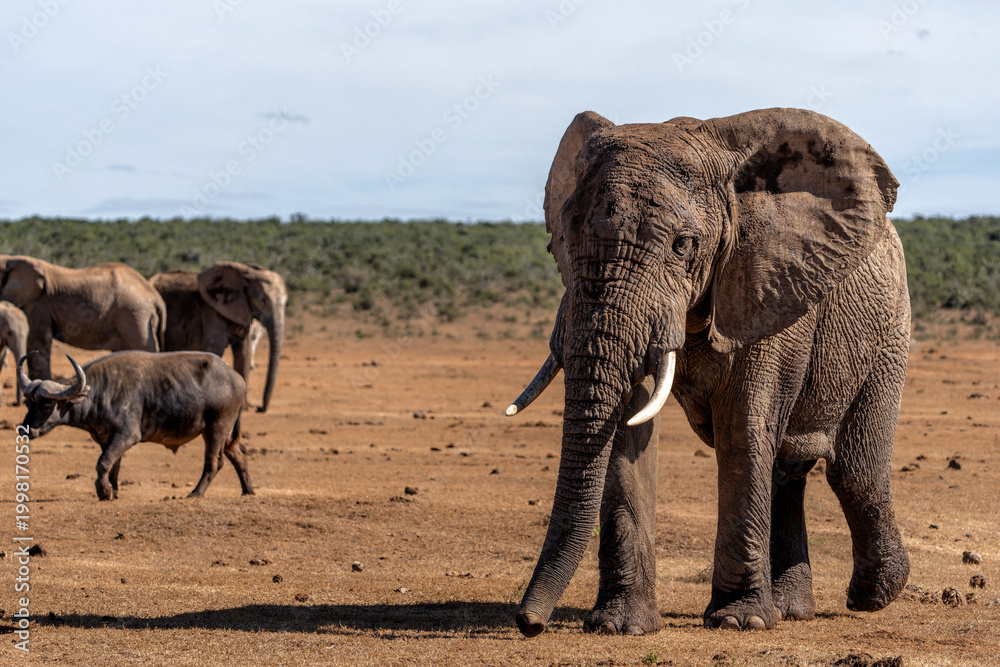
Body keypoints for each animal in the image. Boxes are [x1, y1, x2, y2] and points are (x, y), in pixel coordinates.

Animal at [18, 350, 254, 500]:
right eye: (28, 403)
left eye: (46, 405)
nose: (25, 429)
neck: (100, 393)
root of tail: (238, 379)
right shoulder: (107, 438)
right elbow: (114, 464)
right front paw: (113, 491)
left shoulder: (127, 435)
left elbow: (103, 463)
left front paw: (103, 491)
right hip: (225, 433)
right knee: (239, 454)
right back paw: (248, 490)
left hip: (216, 428)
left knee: (214, 463)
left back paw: (195, 493)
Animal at [149, 261, 286, 413]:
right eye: (264, 301)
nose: (258, 408)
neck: (246, 273)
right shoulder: (211, 312)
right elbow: (215, 349)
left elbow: (243, 353)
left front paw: (242, 407)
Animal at [506, 108, 910, 636]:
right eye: (563, 242)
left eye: (683, 245)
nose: (528, 623)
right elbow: (630, 425)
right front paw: (619, 626)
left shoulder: (768, 283)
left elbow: (743, 423)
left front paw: (740, 622)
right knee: (789, 469)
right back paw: (792, 610)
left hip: (890, 328)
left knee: (854, 471)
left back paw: (874, 596)